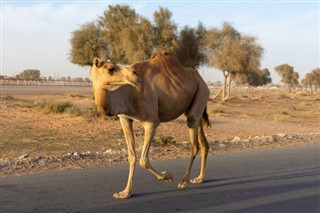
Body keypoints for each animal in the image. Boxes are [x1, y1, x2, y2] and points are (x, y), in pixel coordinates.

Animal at [90, 52, 211, 199]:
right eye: (110, 69)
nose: (135, 75)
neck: (129, 95)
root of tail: (202, 80)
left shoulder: (151, 122)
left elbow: (143, 160)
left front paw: (167, 176)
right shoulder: (125, 119)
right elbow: (132, 156)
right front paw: (125, 192)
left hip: (201, 94)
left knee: (194, 144)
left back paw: (184, 181)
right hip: (195, 106)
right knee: (203, 142)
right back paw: (199, 178)